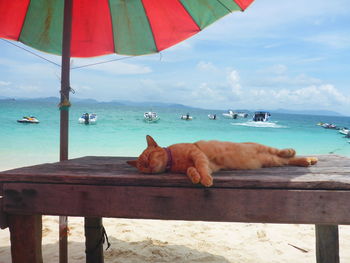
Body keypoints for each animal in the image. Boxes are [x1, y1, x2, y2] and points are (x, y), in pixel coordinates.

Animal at [127, 136, 318, 188]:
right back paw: (307, 160)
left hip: (266, 150)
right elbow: (192, 170)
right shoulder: (202, 164)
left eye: (149, 157)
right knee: (289, 161)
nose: (149, 167)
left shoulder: (197, 154)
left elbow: (201, 167)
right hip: (272, 162)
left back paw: (293, 151)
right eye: (143, 167)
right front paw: (196, 177)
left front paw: (205, 179)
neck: (173, 161)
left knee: (282, 152)